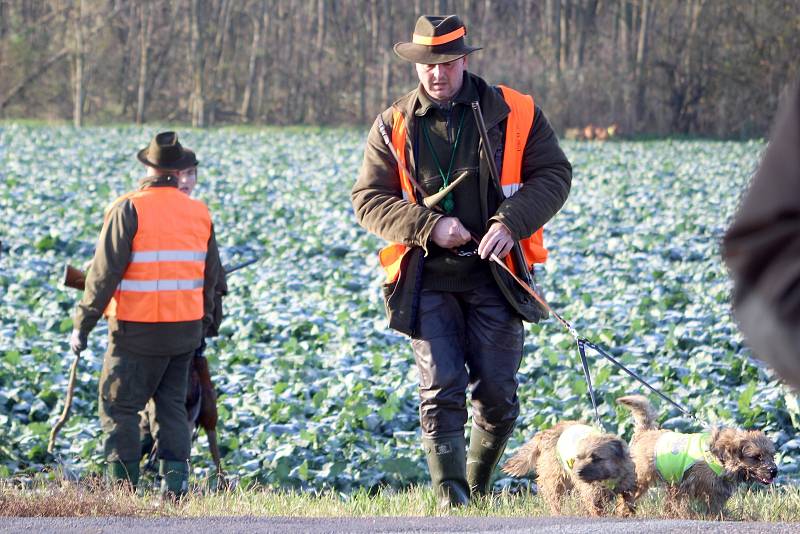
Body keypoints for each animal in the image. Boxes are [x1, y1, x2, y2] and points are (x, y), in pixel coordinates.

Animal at [504, 422, 636, 520]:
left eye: (596, 458)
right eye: (578, 457)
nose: (577, 472)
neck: (608, 477)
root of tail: (547, 431)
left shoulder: (627, 488)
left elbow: (627, 503)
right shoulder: (593, 496)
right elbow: (598, 509)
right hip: (555, 482)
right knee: (555, 501)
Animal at [616, 398, 780, 520]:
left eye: (772, 456)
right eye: (756, 457)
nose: (774, 471)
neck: (720, 458)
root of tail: (645, 432)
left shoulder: (713, 490)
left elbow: (714, 506)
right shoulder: (686, 485)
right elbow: (684, 503)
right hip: (641, 478)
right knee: (627, 494)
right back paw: (624, 510)